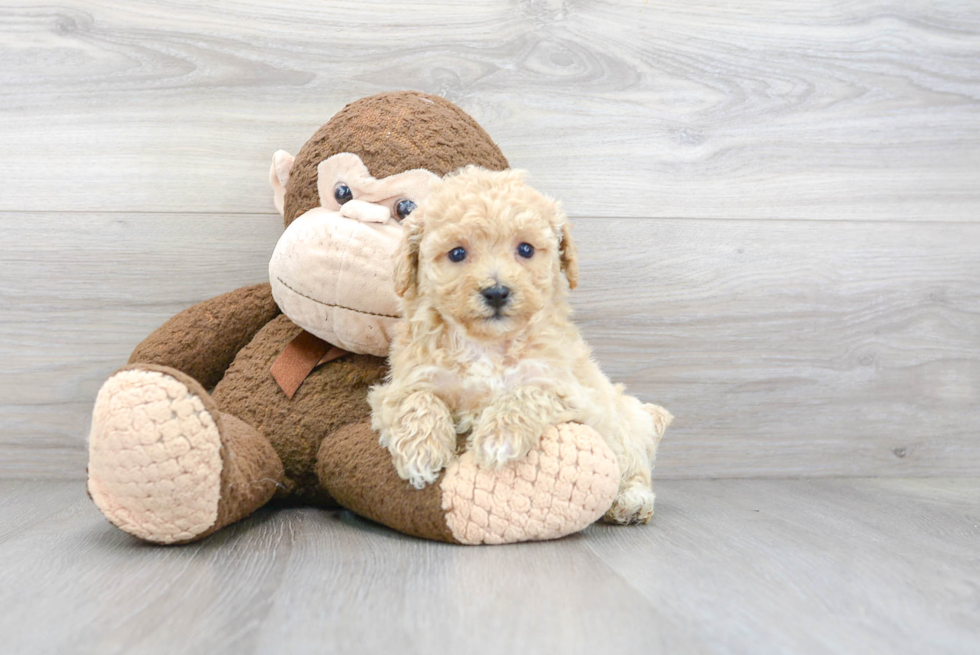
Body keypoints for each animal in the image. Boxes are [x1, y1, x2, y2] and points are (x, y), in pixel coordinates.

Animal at [368, 167, 672, 524]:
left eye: (525, 249)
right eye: (457, 253)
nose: (497, 292)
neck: (485, 345)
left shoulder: (569, 390)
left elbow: (527, 393)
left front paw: (498, 438)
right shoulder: (400, 385)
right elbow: (417, 399)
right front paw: (422, 452)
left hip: (620, 422)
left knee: (634, 465)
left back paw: (631, 501)